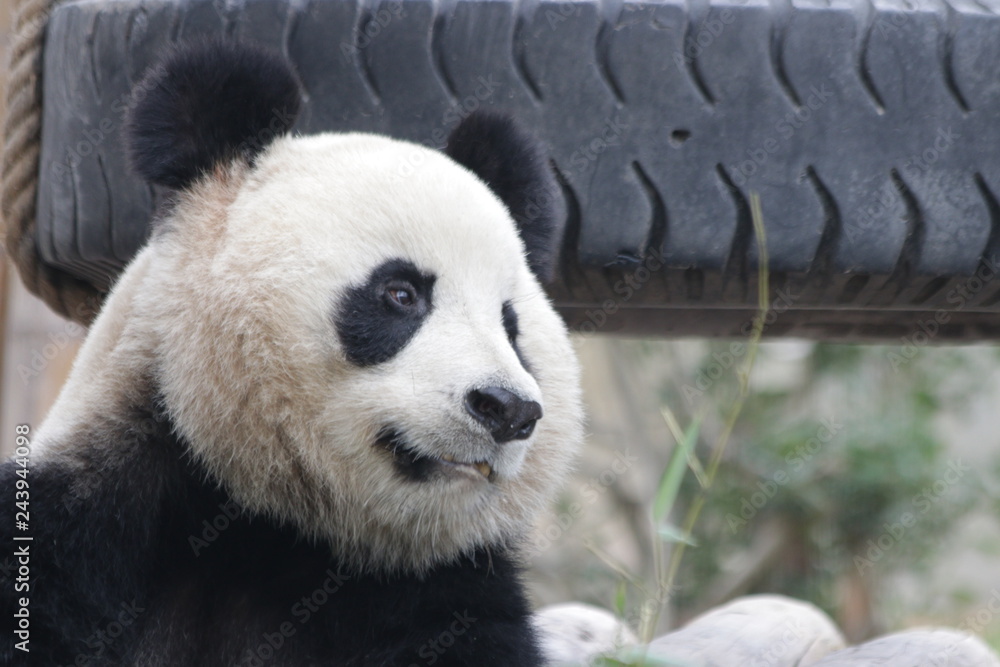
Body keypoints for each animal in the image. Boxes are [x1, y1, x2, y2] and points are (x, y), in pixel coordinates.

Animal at [0, 41, 582, 666]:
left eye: (511, 326)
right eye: (401, 294)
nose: (506, 408)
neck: (273, 526)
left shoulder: (442, 594)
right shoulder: (84, 530)